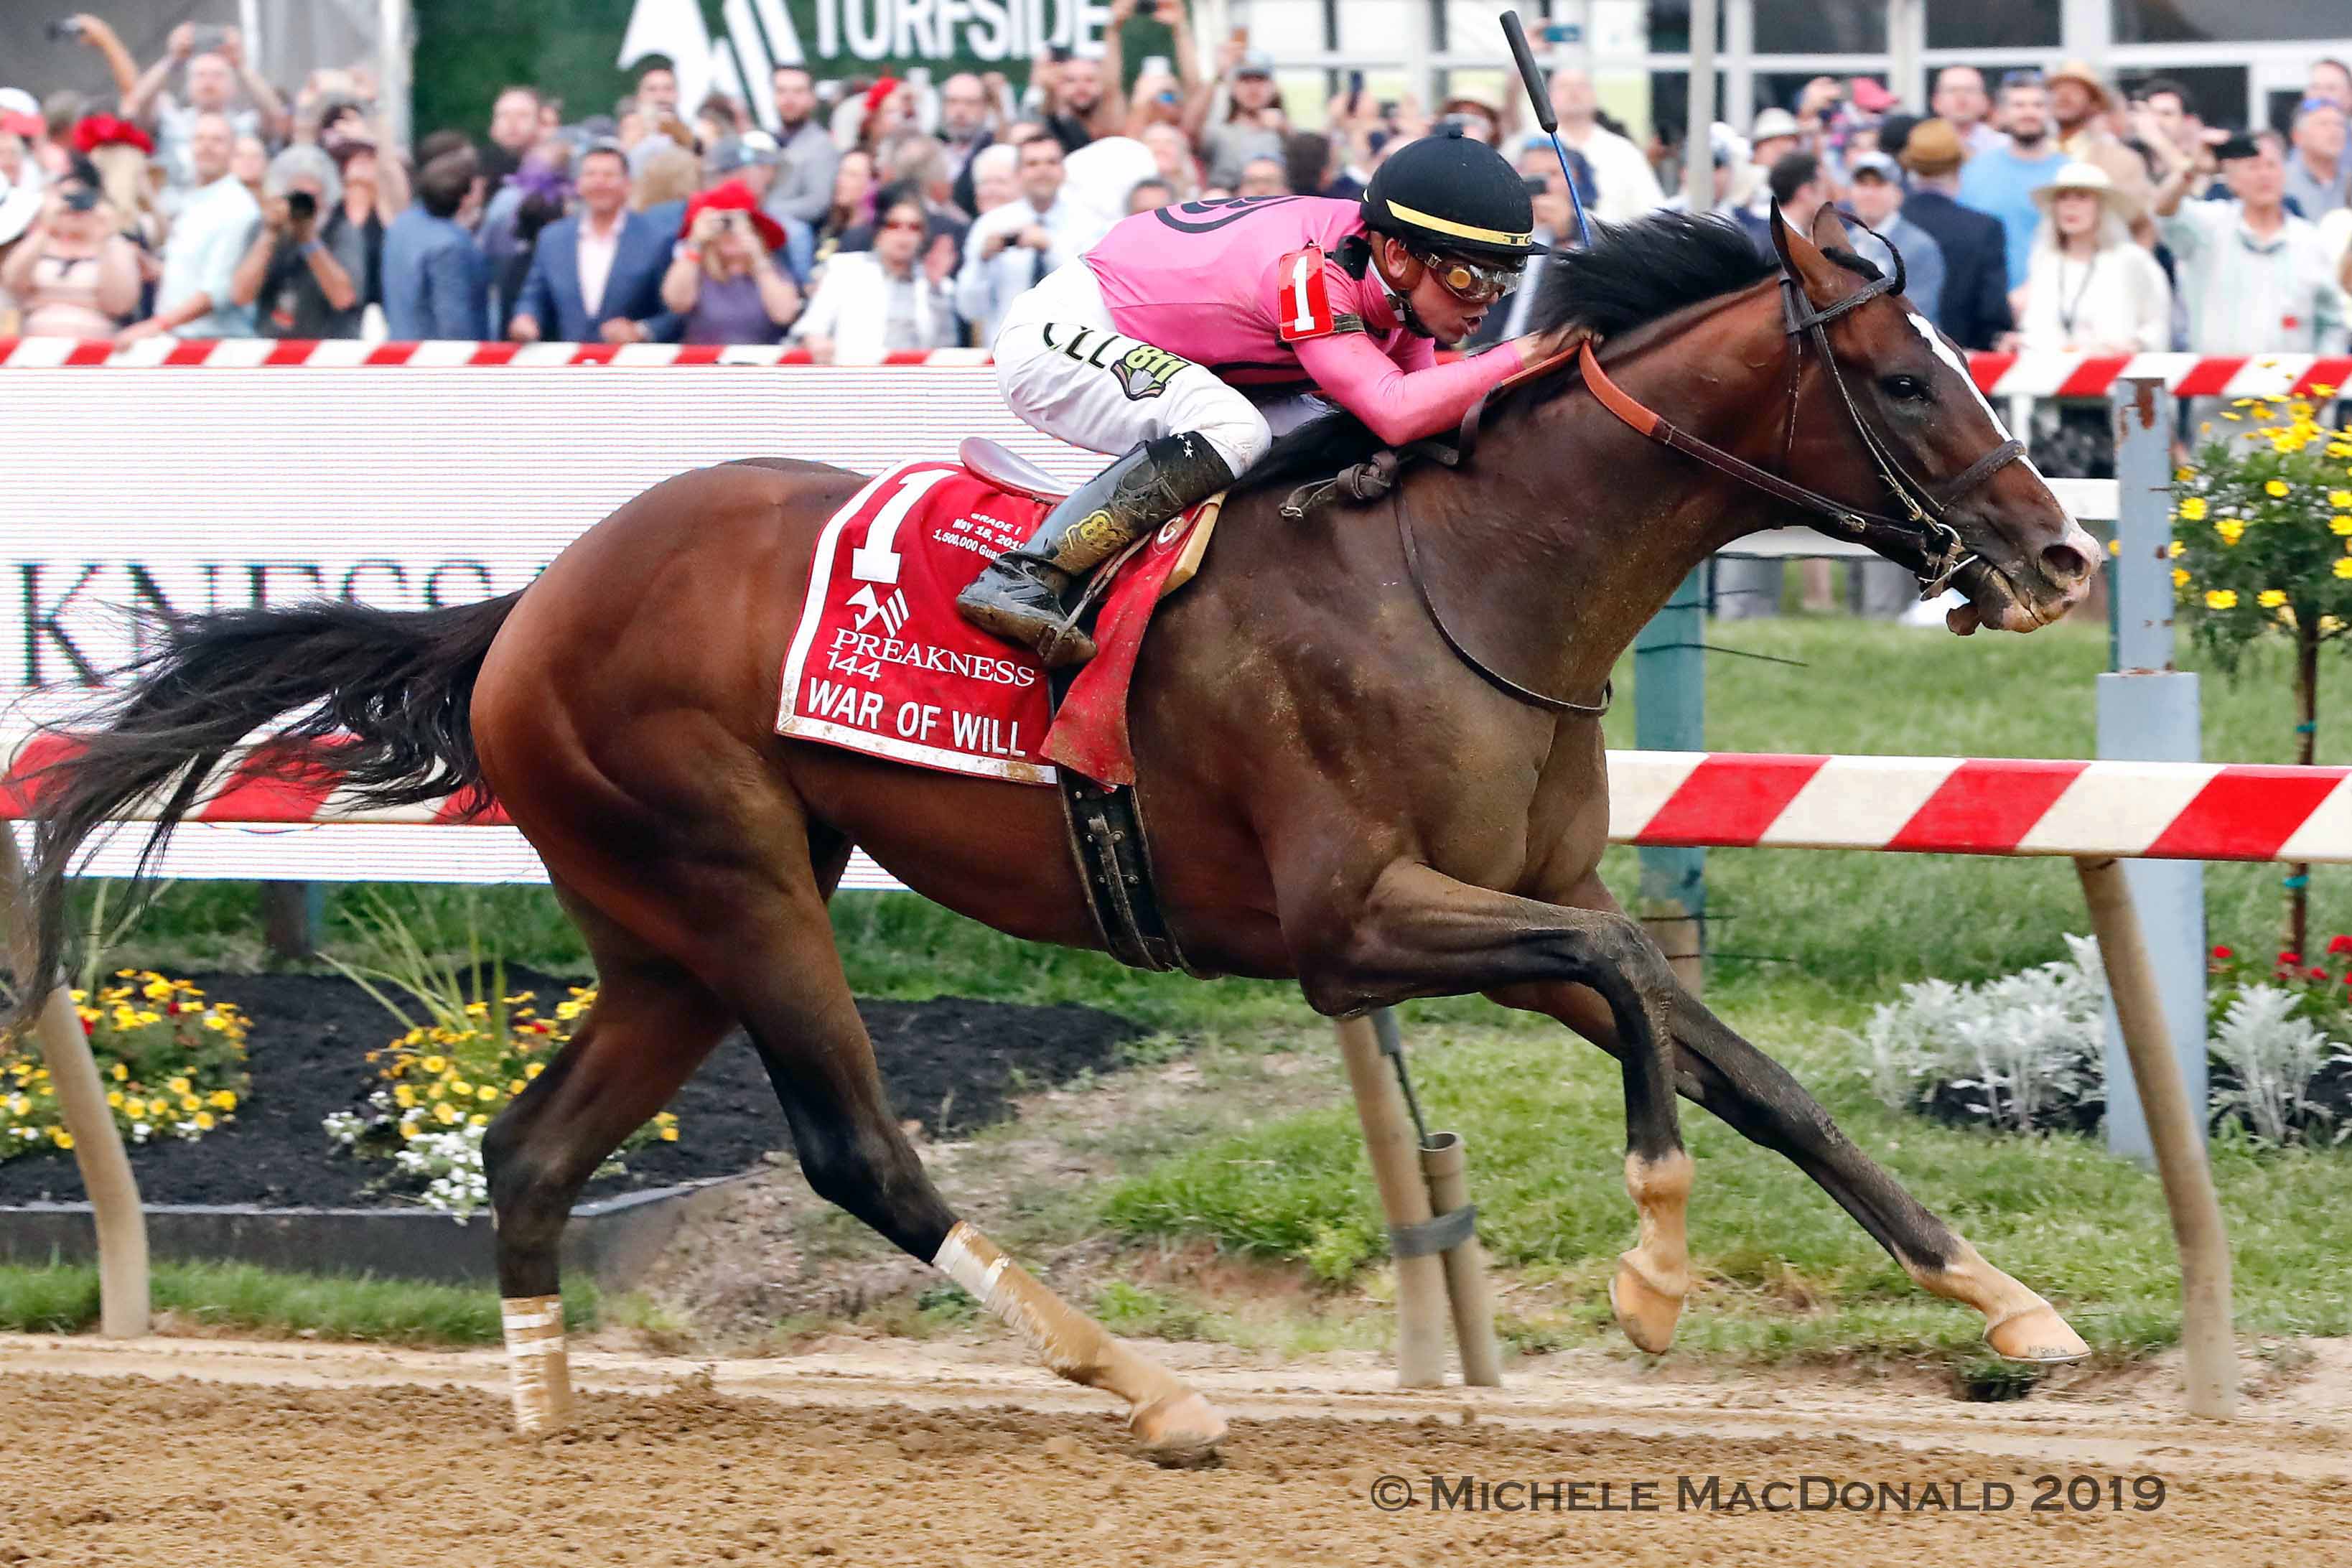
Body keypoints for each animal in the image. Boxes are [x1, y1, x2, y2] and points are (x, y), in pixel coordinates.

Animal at [18, 205, 2098, 1457]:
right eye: (1901, 377)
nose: (2060, 556)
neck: (1469, 574)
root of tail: (528, 603)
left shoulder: (1514, 895)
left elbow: (1749, 1070)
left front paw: (2010, 1304)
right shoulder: (1352, 925)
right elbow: (1635, 993)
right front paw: (1654, 1280)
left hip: (663, 930)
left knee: (531, 1154)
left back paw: (540, 1408)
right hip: (735, 882)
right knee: (858, 1151)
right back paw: (1142, 1386)